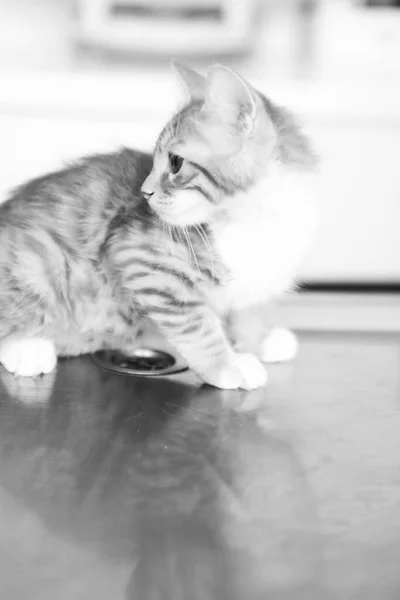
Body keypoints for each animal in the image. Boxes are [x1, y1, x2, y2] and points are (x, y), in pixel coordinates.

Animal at [0, 63, 318, 386]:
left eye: (176, 162)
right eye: (154, 162)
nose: (145, 191)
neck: (255, 222)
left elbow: (245, 314)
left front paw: (260, 340)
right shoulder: (143, 260)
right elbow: (197, 326)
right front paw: (227, 365)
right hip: (37, 262)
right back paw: (27, 347)